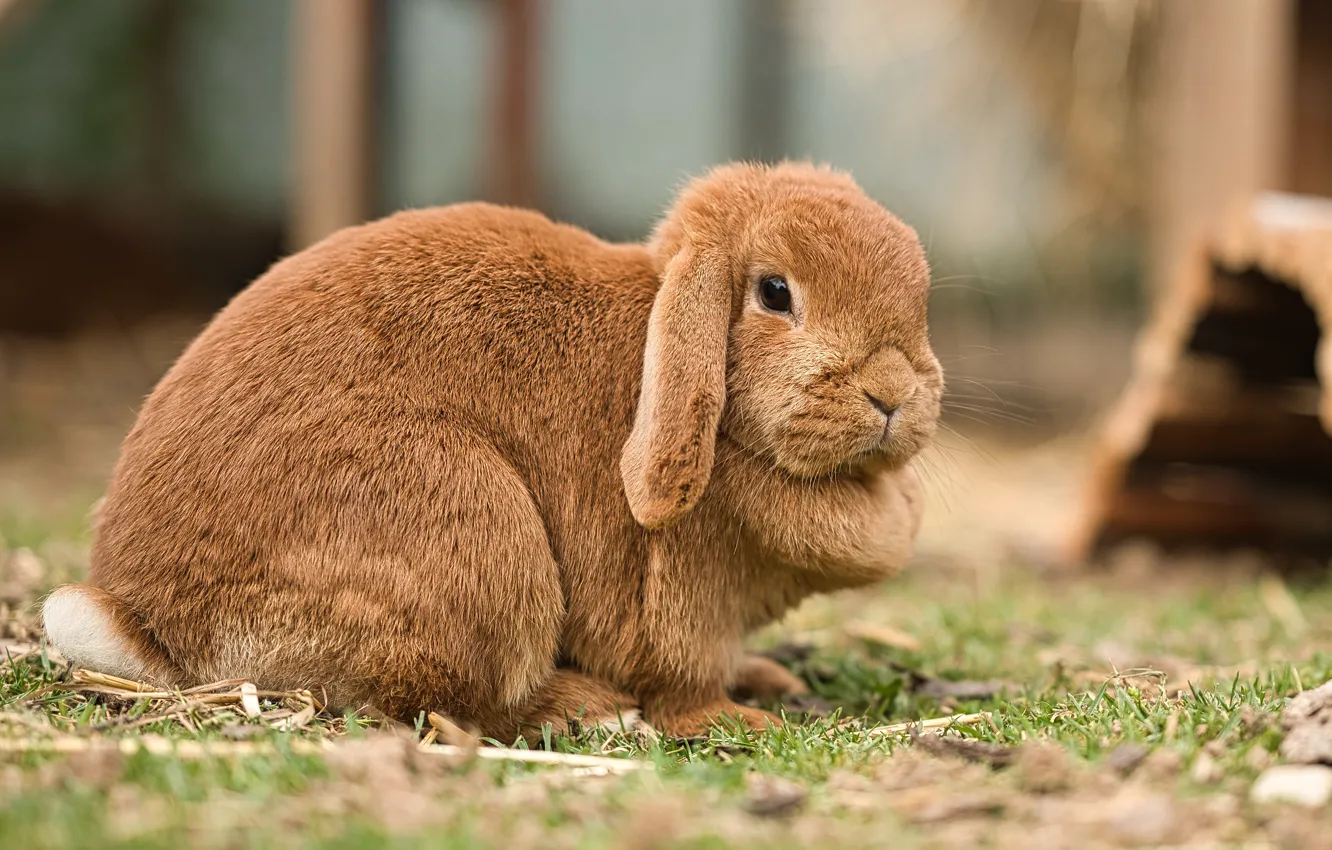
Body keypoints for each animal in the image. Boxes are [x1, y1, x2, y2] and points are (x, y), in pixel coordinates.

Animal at [42, 161, 941, 741]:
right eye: (775, 293)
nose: (893, 393)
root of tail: (146, 625)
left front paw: (766, 680)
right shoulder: (682, 601)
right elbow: (681, 679)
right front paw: (733, 719)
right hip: (477, 540)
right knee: (453, 705)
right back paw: (586, 708)